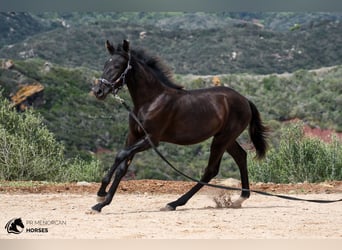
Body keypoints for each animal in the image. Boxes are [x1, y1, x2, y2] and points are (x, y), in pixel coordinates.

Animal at [92, 40, 268, 212]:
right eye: (105, 64)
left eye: (117, 66)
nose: (98, 91)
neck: (151, 100)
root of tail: (245, 100)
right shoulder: (133, 136)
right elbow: (122, 167)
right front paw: (102, 203)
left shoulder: (151, 140)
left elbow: (120, 155)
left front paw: (101, 195)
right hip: (225, 138)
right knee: (241, 157)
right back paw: (240, 199)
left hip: (222, 139)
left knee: (211, 170)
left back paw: (174, 203)